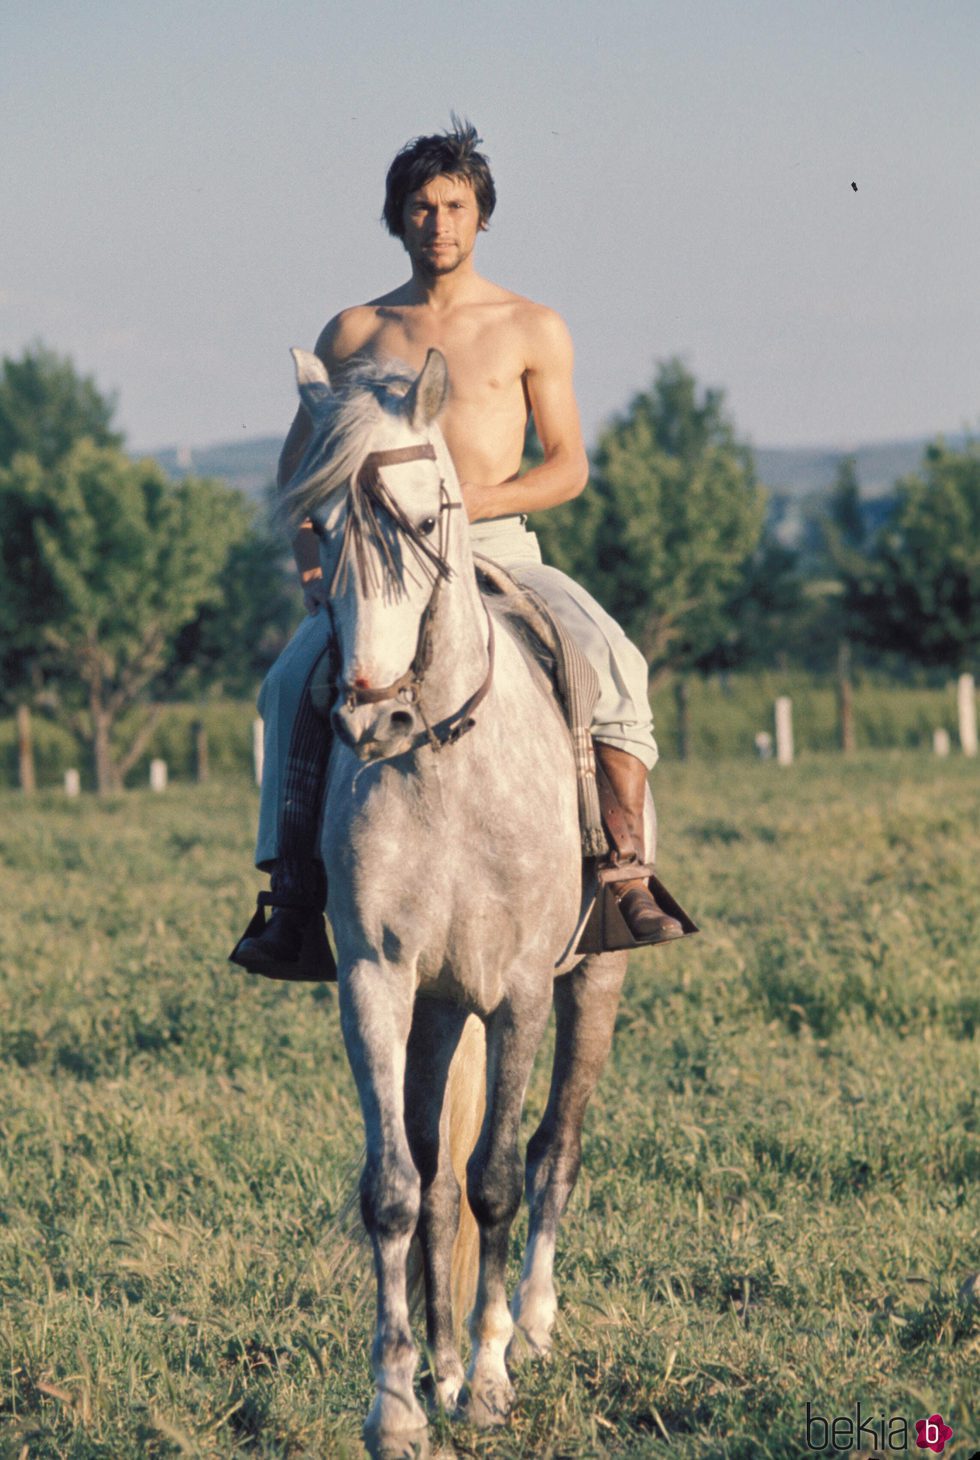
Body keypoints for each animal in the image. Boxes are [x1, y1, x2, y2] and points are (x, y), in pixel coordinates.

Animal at [283, 347, 636, 1454]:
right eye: (319, 528)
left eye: (422, 513)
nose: (371, 711)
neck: (439, 754)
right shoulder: (378, 981)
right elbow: (401, 1188)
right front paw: (401, 1400)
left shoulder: (520, 988)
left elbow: (498, 1177)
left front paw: (486, 1381)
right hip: (441, 1006)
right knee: (437, 1175)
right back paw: (439, 1362)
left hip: (592, 980)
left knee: (553, 1148)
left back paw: (531, 1328)